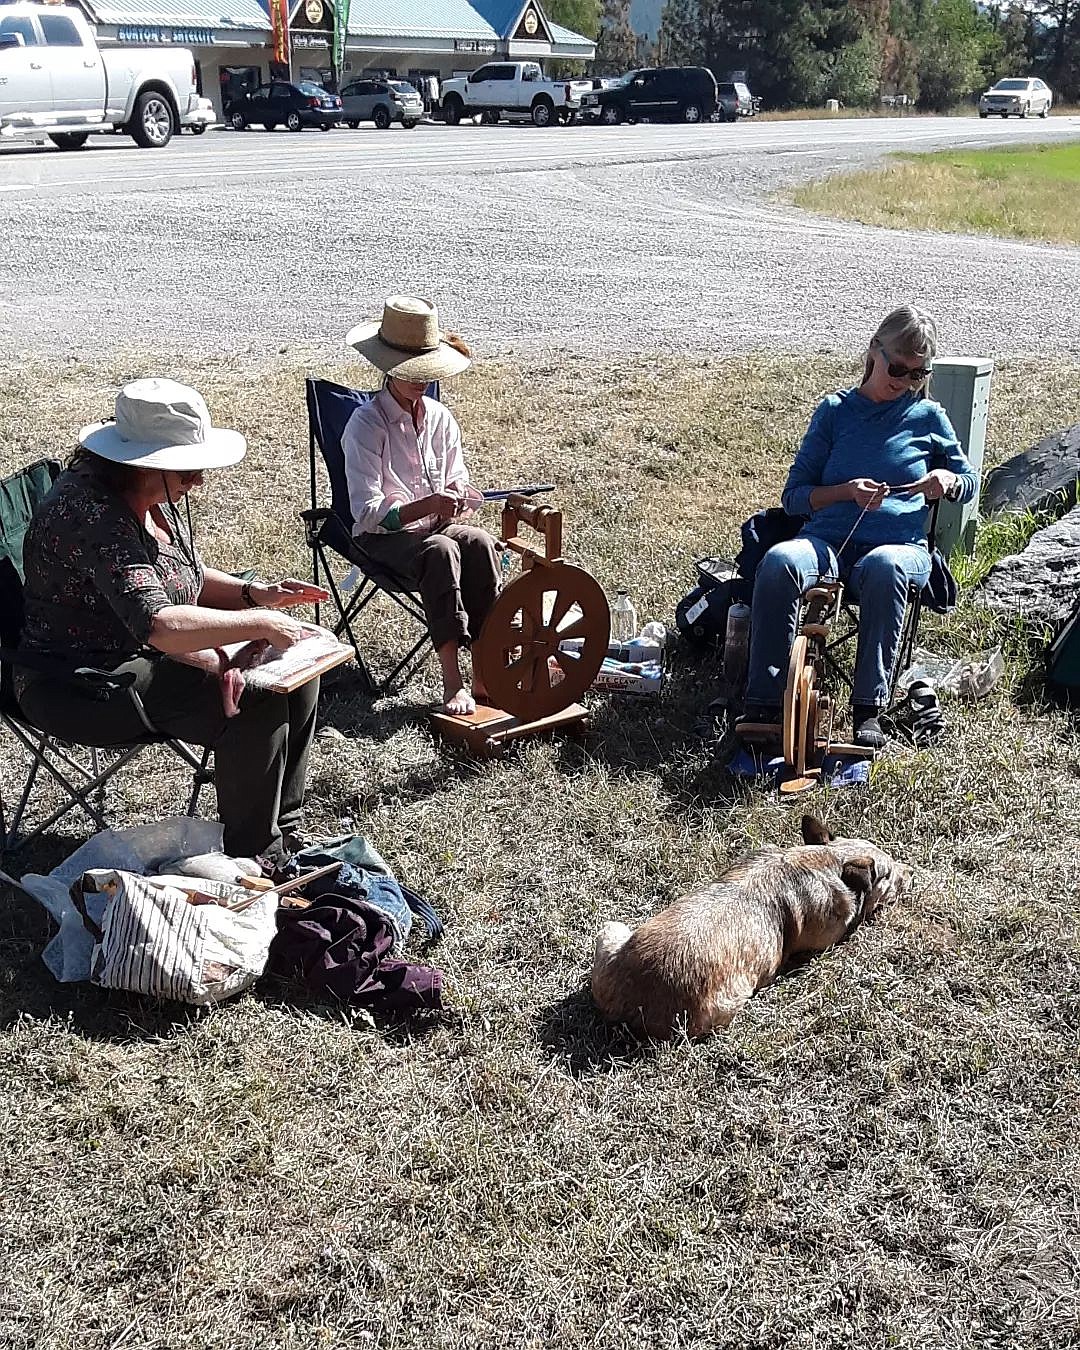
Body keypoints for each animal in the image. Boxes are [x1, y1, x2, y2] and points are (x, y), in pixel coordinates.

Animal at [591, 810, 912, 1042]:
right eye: (888, 873)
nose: (910, 872)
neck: (823, 859)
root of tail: (631, 1006)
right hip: (731, 1001)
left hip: (611, 930)